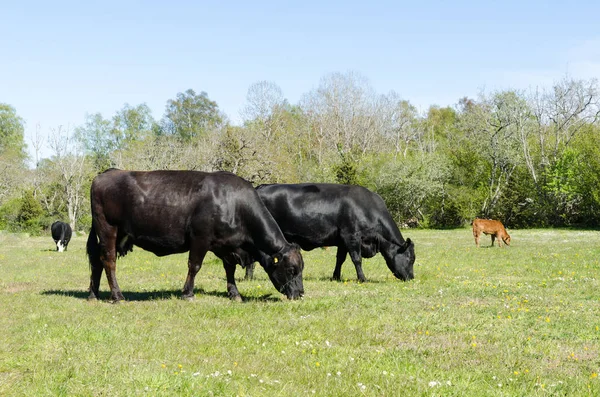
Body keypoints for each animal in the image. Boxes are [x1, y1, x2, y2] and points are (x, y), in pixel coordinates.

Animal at [87, 169, 304, 302]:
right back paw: (117, 296)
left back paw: (93, 294)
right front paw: (188, 293)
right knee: (108, 261)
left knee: (97, 262)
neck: (234, 203)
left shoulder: (226, 245)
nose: (300, 293)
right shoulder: (200, 238)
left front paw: (234, 293)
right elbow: (195, 266)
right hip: (108, 229)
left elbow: (230, 269)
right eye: (292, 269)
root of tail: (106, 173)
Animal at [246, 183, 414, 282]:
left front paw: (336, 277)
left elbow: (340, 259)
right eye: (410, 258)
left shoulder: (342, 241)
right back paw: (248, 277)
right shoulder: (351, 236)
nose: (411, 277)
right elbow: (356, 259)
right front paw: (362, 279)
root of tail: (260, 187)